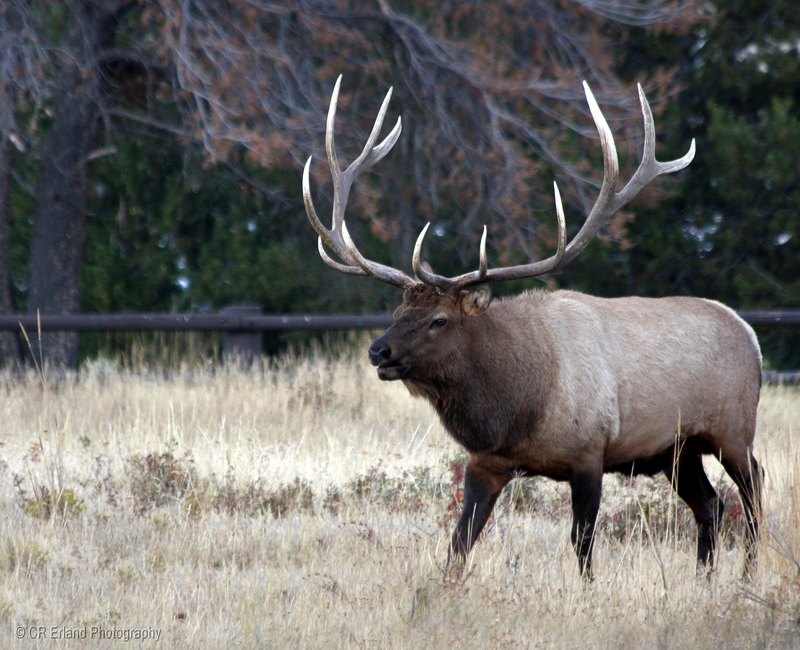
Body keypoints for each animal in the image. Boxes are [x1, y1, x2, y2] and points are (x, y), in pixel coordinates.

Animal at [302, 76, 764, 576]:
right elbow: (459, 543)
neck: (518, 406)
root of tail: (751, 335)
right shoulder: (486, 463)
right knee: (711, 505)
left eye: (439, 320)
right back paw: (705, 578)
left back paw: (747, 574)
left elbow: (582, 542)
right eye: (396, 314)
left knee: (754, 490)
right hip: (677, 450)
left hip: (733, 429)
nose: (378, 351)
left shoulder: (589, 453)